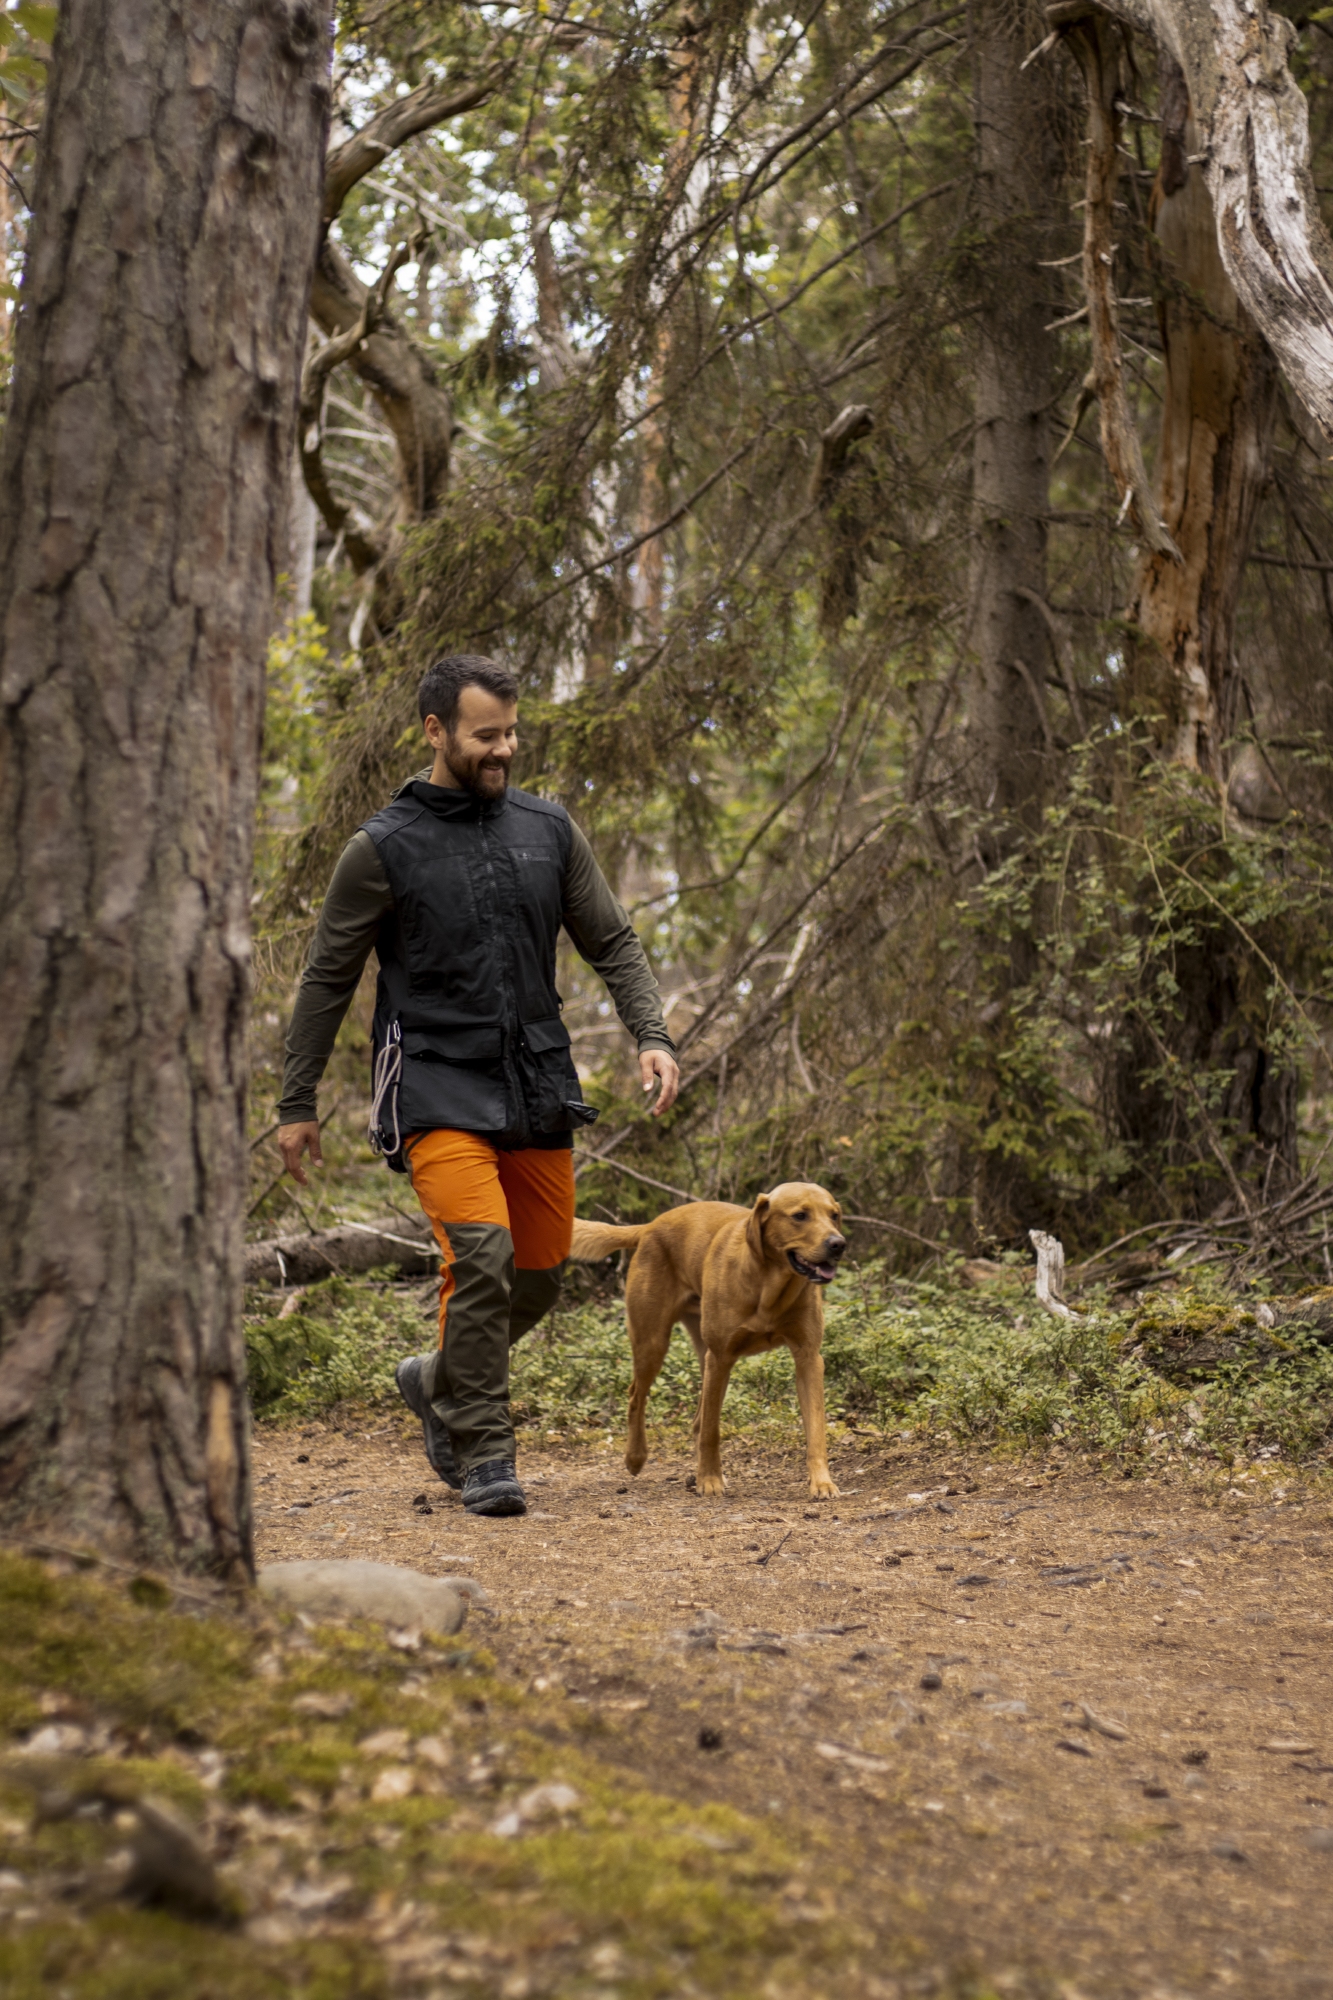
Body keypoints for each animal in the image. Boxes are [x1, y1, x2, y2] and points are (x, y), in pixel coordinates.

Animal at [568, 1176, 840, 1496]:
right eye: (800, 1216)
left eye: (834, 1215)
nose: (838, 1244)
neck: (768, 1286)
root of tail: (650, 1225)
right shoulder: (721, 1356)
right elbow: (712, 1430)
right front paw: (709, 1480)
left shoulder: (808, 1358)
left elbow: (816, 1430)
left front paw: (822, 1482)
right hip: (654, 1343)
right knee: (637, 1395)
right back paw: (636, 1457)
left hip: (703, 1356)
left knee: (696, 1419)